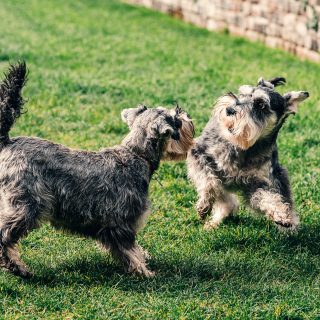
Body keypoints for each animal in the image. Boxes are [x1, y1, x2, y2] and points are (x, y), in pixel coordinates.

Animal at [0, 62, 195, 278]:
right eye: (174, 119)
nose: (185, 114)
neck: (136, 154)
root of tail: (8, 141)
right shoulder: (121, 223)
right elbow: (129, 250)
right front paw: (143, 271)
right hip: (28, 206)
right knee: (5, 235)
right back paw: (18, 267)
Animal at [189, 77, 308, 231]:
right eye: (242, 94)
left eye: (261, 105)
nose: (229, 109)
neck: (244, 147)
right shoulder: (199, 154)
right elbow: (209, 182)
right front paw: (204, 205)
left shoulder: (260, 183)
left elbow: (266, 196)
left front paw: (281, 214)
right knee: (224, 198)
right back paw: (213, 222)